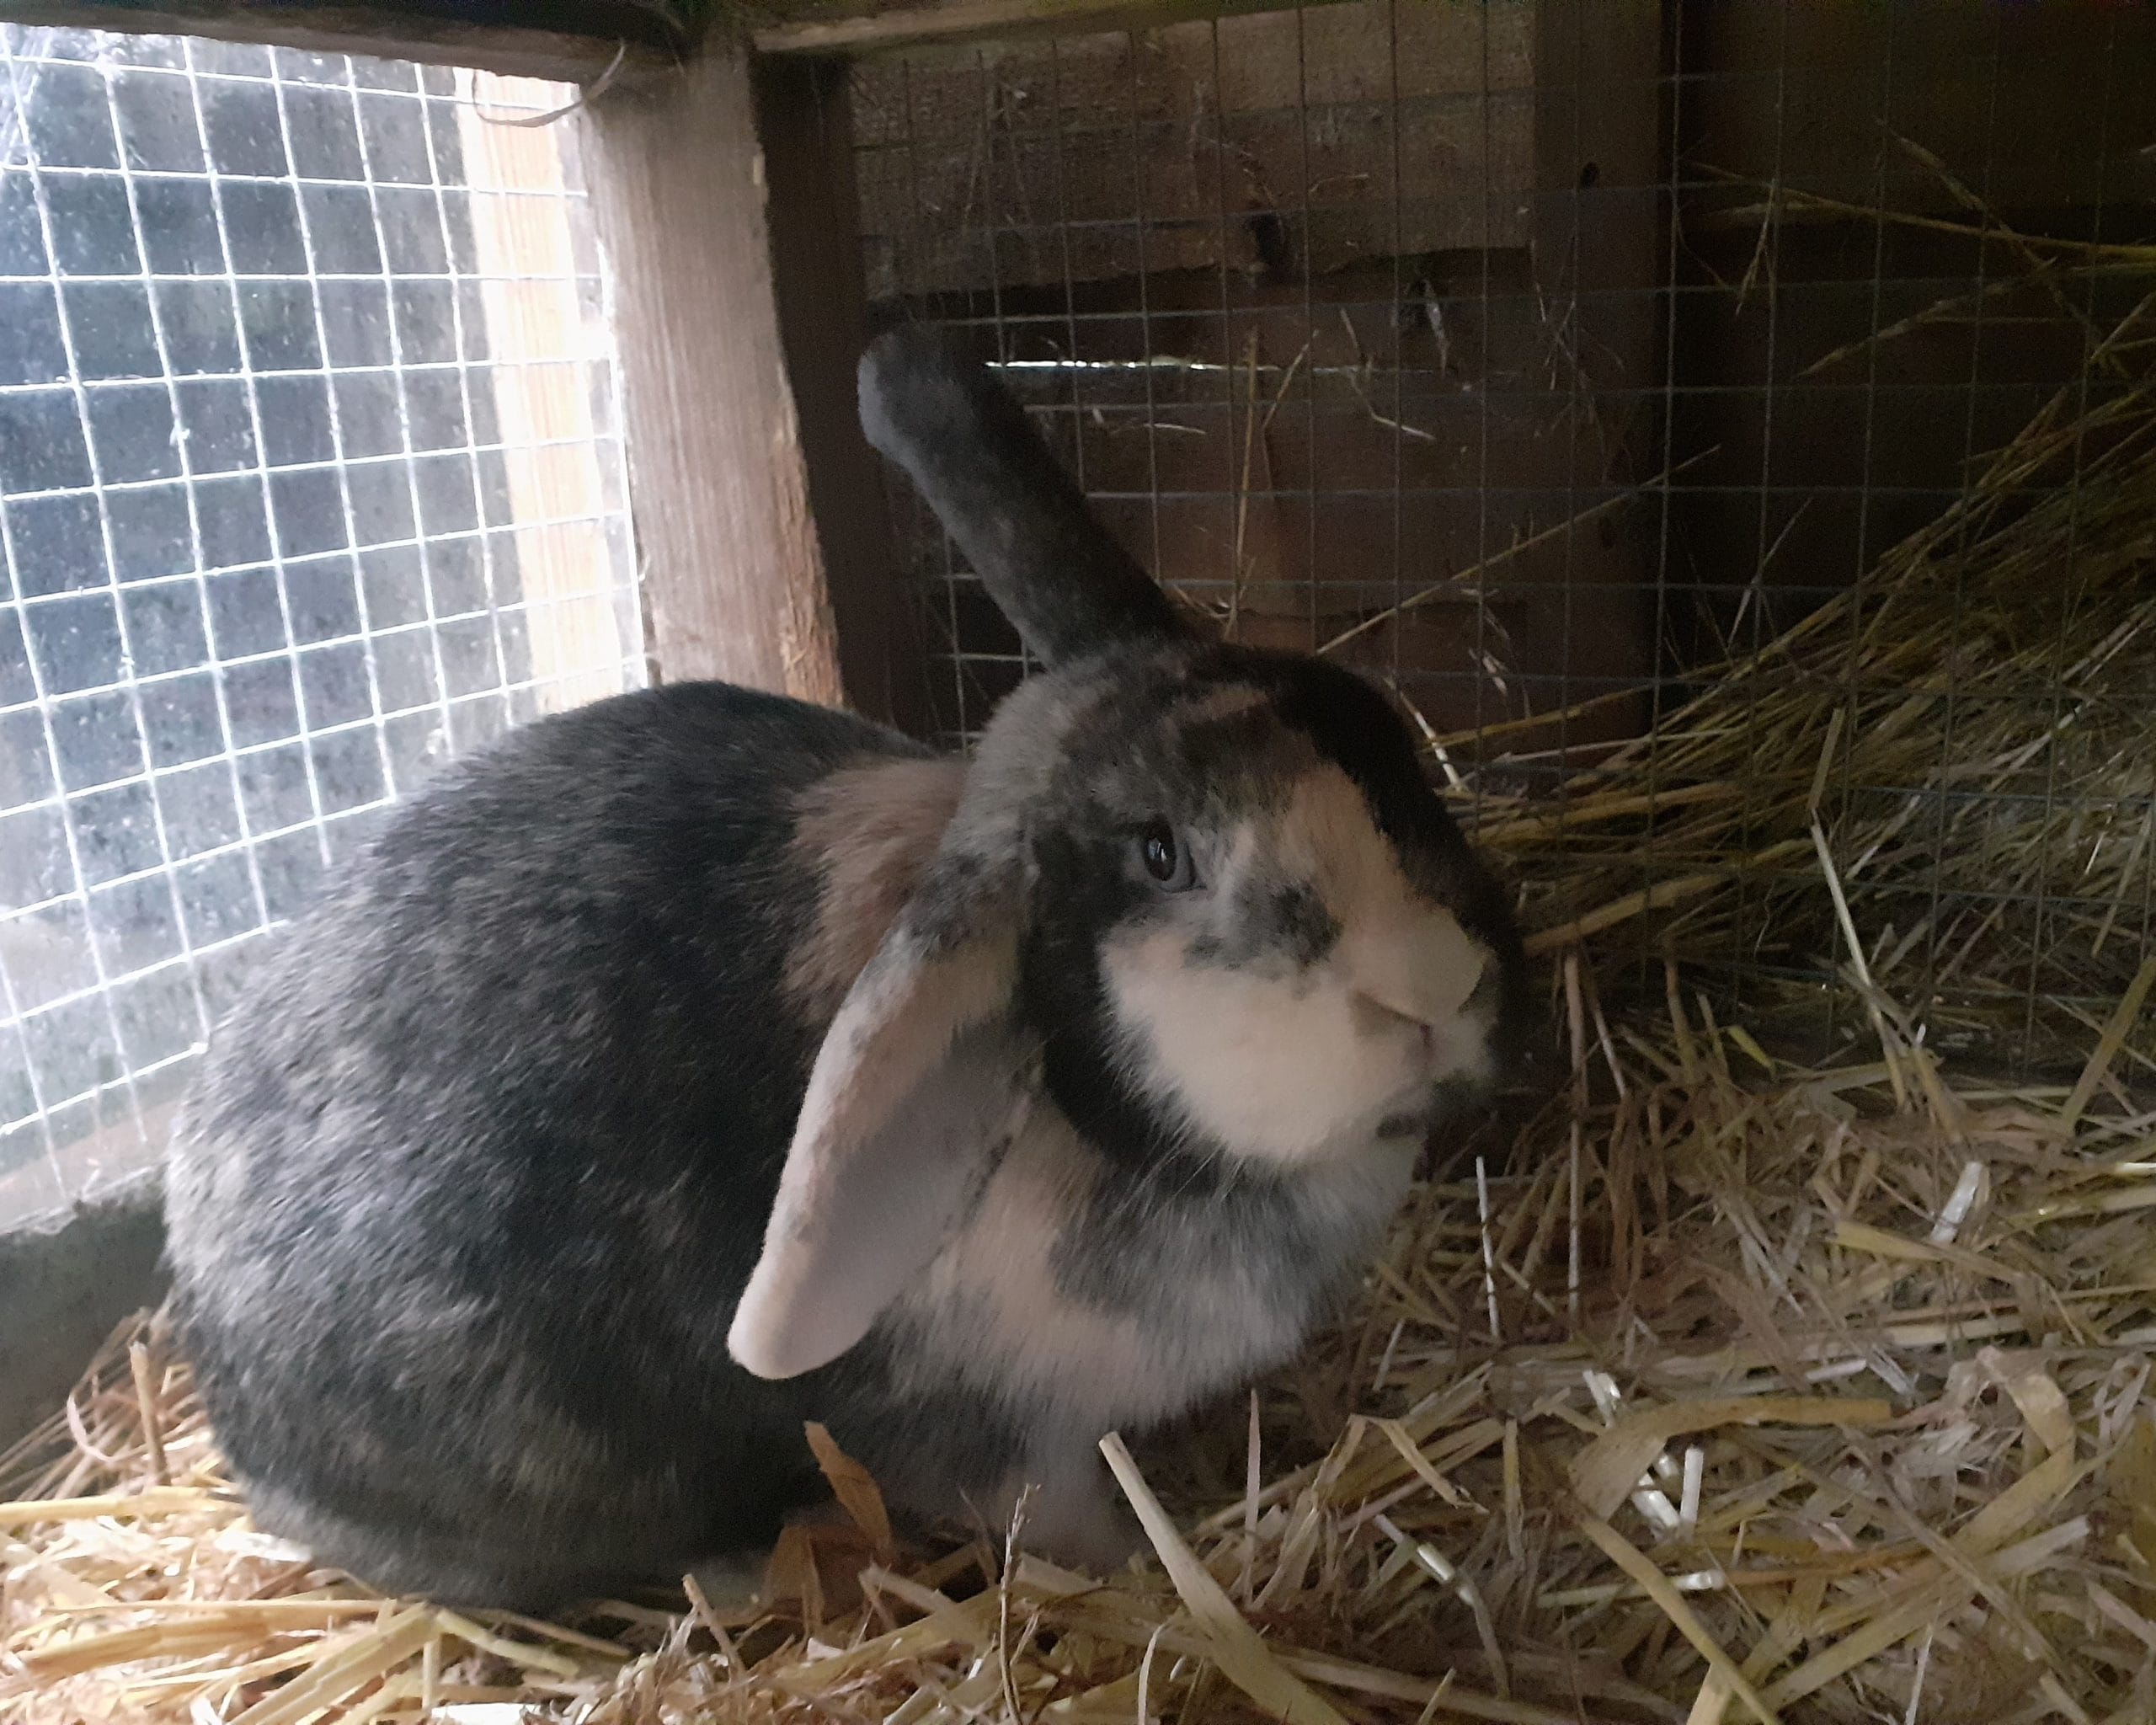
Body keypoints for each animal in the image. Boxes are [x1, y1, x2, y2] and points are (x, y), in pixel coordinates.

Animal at [162, 325, 1529, 1611]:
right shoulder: (994, 1445)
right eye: (1161, 854)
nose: (1437, 983)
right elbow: (1065, 1521)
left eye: (1380, 734)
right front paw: (1156, 1576)